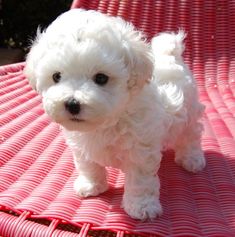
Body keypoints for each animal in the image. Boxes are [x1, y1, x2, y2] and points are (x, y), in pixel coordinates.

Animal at [24, 9, 206, 220]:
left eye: (101, 78)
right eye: (56, 76)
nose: (72, 104)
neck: (108, 121)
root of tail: (170, 54)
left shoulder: (141, 150)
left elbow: (140, 180)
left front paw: (141, 206)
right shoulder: (81, 145)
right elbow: (88, 165)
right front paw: (92, 185)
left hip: (189, 111)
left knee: (191, 135)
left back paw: (192, 159)